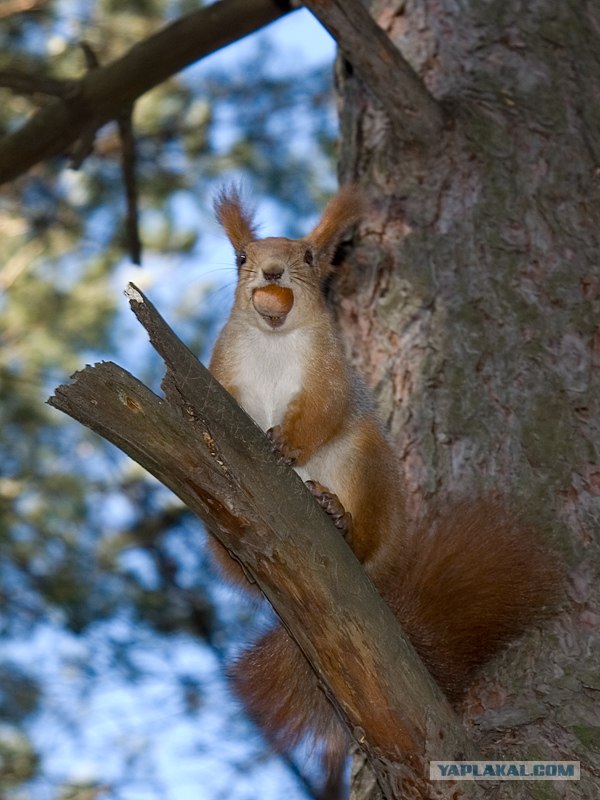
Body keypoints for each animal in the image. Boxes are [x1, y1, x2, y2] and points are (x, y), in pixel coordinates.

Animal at [207, 184, 564, 772]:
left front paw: (286, 444)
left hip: (366, 464)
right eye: (241, 258)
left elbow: (323, 412)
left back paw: (338, 516)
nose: (273, 271)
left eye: (308, 256)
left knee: (363, 527)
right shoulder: (222, 369)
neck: (275, 340)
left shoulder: (330, 375)